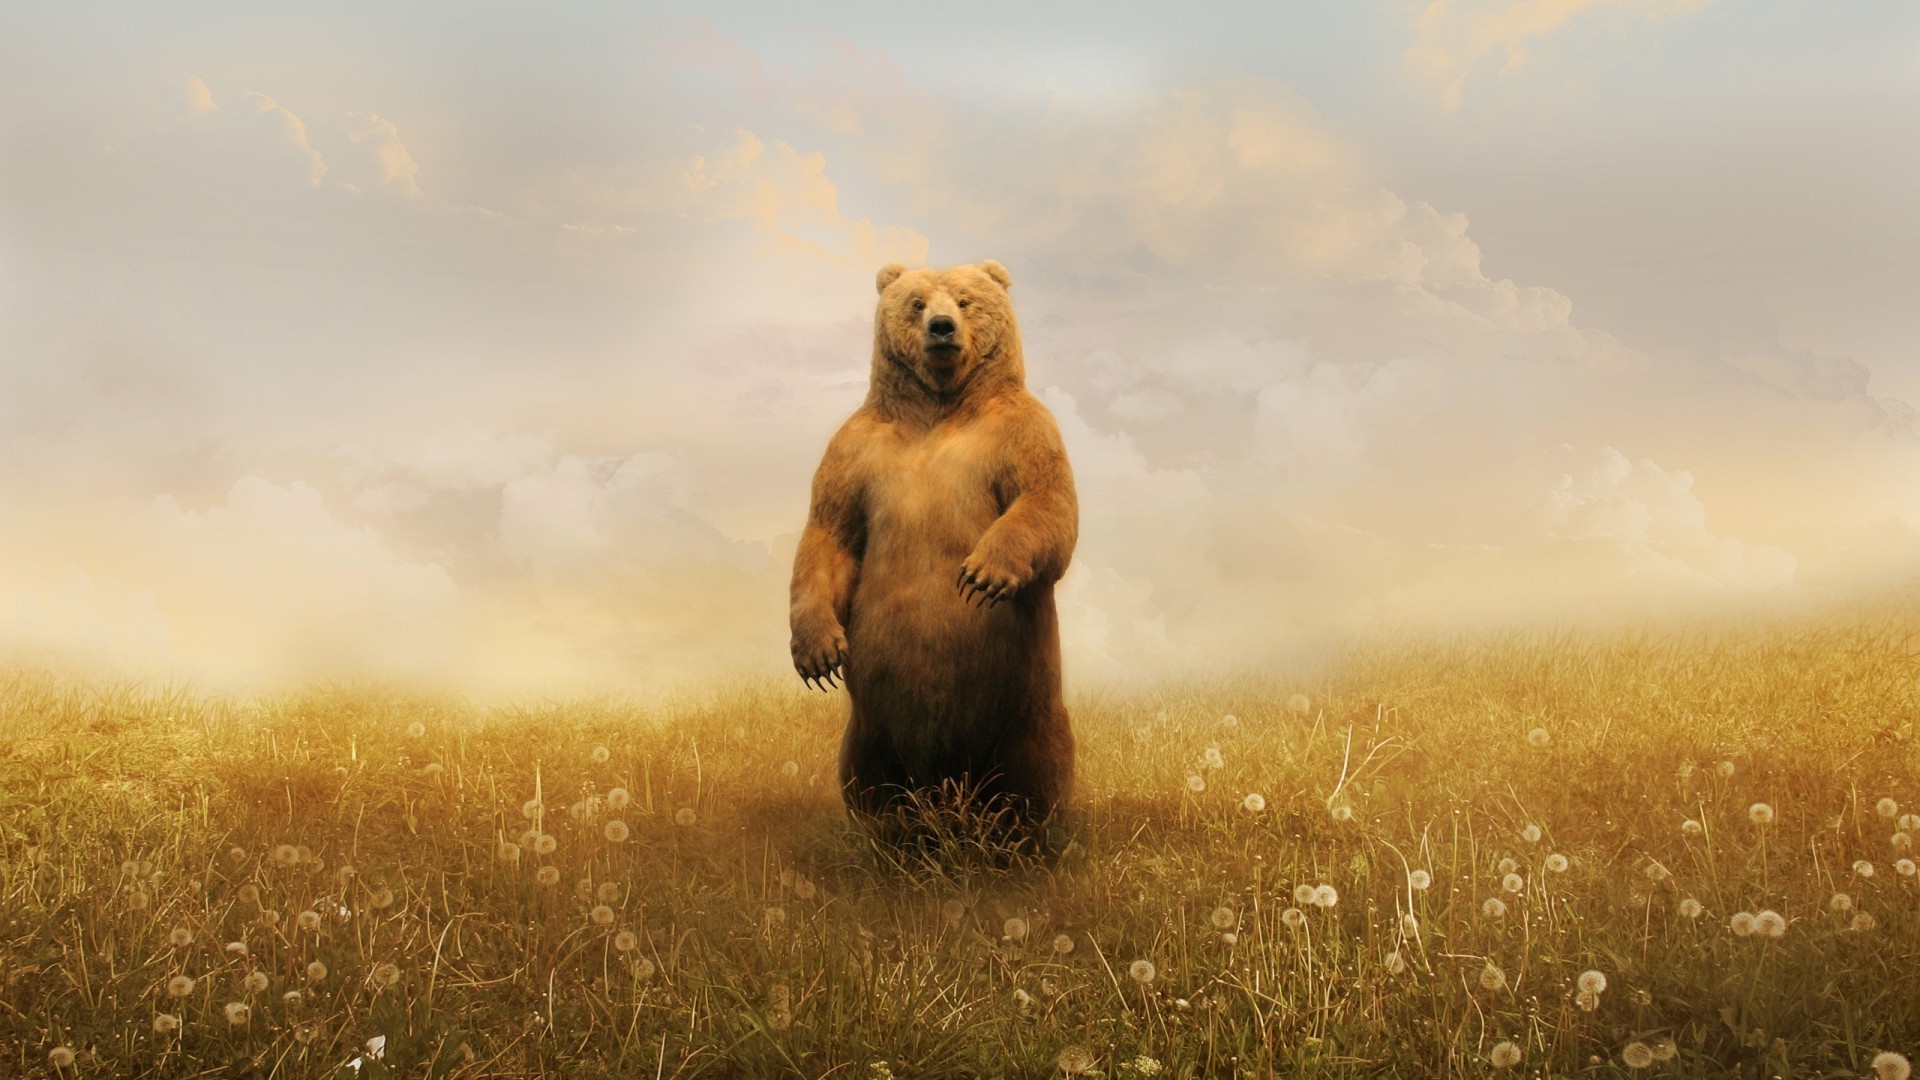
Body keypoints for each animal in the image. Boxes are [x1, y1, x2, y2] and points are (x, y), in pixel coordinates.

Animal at [788, 259, 1078, 837]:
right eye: (917, 302)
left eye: (965, 300)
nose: (942, 328)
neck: (941, 405)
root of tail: (945, 788)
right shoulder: (856, 450)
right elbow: (829, 533)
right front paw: (818, 654)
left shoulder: (1022, 431)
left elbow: (1047, 502)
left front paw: (982, 574)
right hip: (871, 726)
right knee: (867, 776)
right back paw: (889, 833)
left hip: (1025, 711)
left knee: (1035, 773)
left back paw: (1024, 837)